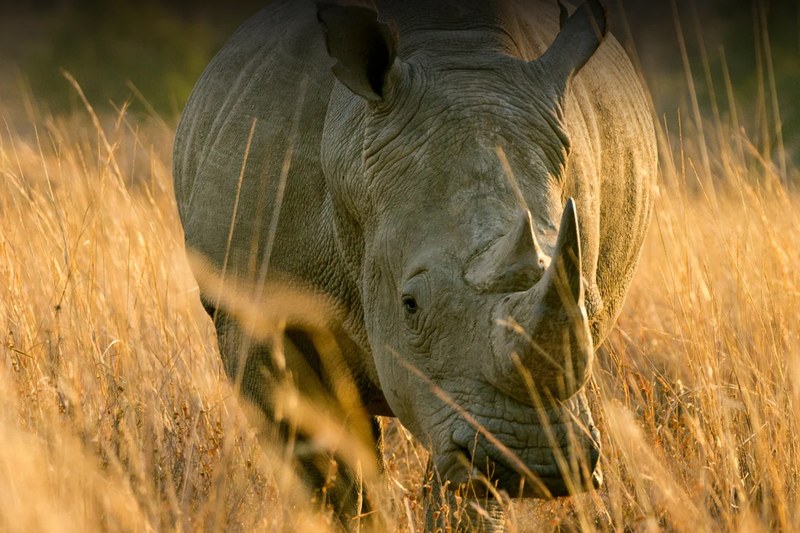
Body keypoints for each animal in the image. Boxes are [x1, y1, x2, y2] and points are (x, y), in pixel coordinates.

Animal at [173, 0, 656, 529]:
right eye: (410, 305)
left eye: (591, 305)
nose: (532, 463)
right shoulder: (248, 303)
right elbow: (332, 472)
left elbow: (468, 490)